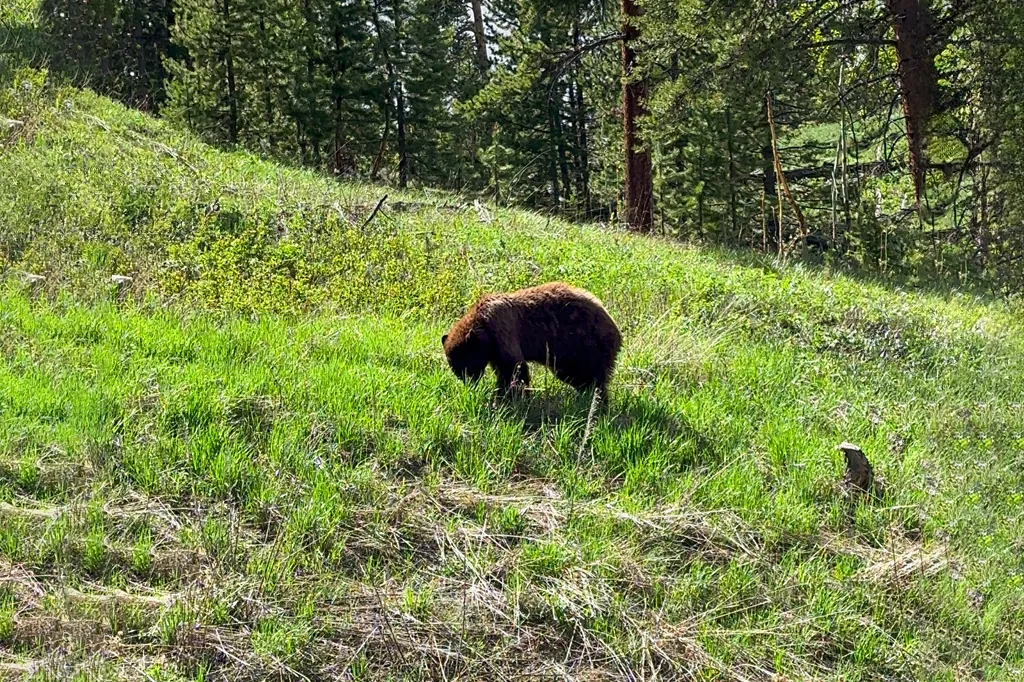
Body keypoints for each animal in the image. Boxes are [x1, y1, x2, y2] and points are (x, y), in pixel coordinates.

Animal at [442, 282, 622, 401]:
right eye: (455, 369)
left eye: (466, 366)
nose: (469, 383)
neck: (483, 328)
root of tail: (616, 328)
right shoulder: (493, 350)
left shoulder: (502, 330)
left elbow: (514, 368)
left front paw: (509, 398)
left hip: (585, 346)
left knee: (592, 377)